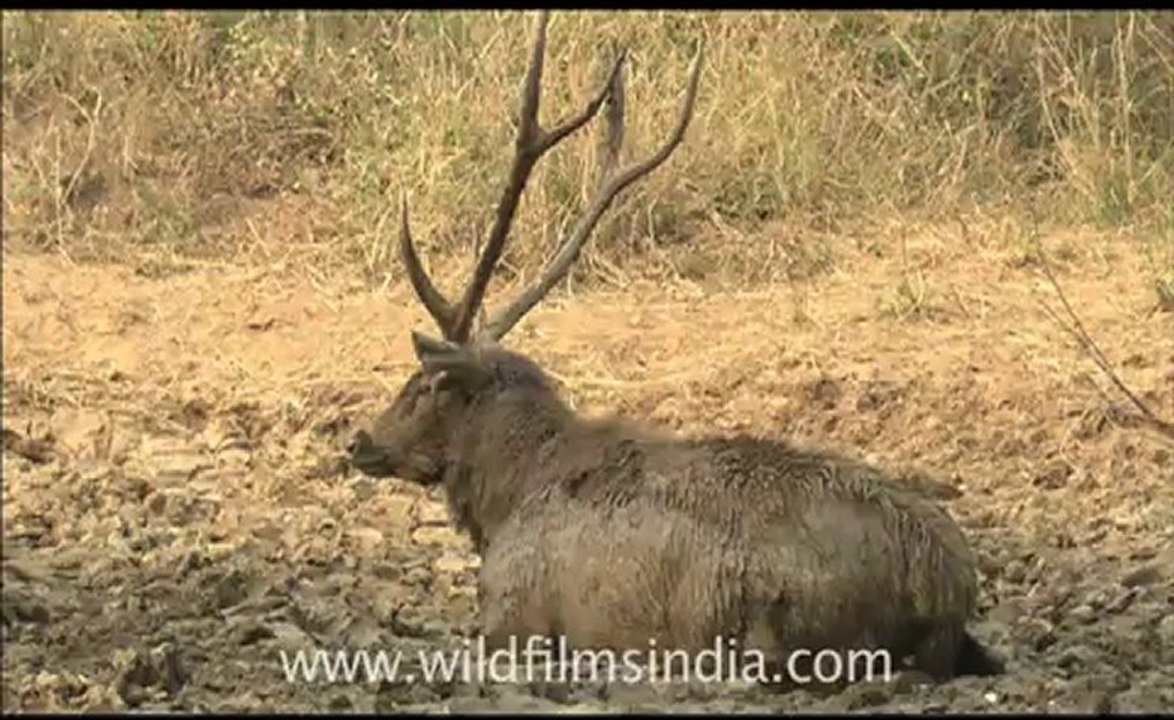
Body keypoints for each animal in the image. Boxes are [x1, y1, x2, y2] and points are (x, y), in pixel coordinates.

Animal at [348, 10, 1003, 688]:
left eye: (423, 385)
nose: (360, 442)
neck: (506, 497)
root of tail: (950, 584)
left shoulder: (514, 614)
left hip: (782, 623)